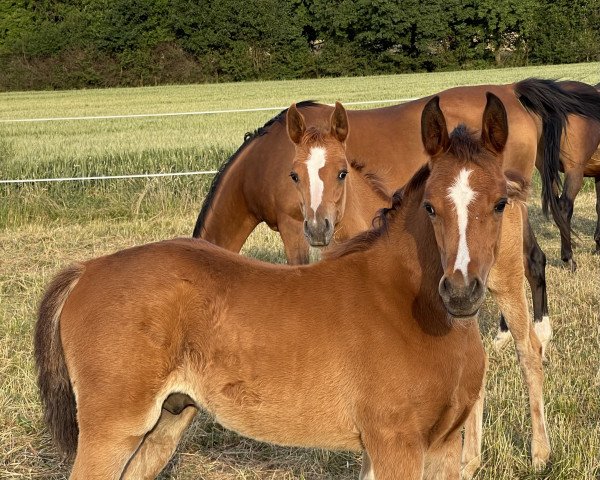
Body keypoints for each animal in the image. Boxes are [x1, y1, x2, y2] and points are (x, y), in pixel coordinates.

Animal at [36, 95, 544, 478]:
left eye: (500, 203)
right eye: (432, 207)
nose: (460, 292)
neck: (405, 304)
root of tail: (87, 269)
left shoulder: (436, 446)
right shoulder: (395, 444)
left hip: (167, 421)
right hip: (112, 429)